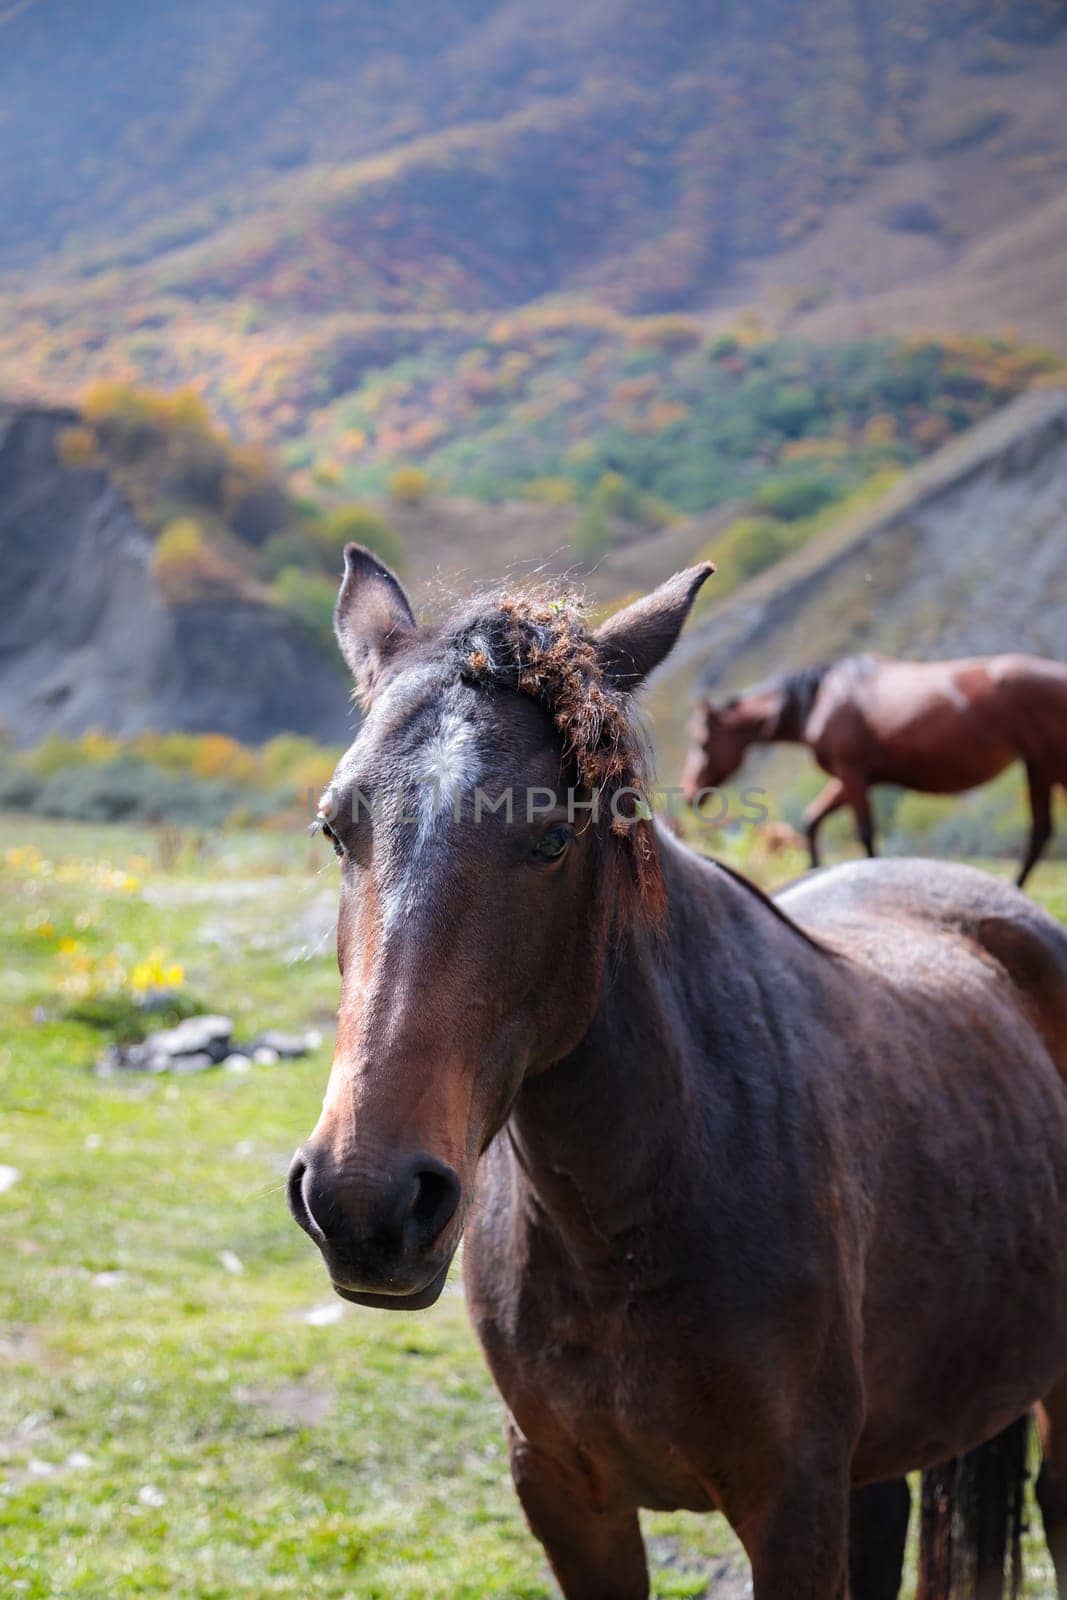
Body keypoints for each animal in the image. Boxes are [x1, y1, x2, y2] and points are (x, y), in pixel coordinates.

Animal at [684, 656, 1067, 896]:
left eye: (702, 742)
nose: (690, 792)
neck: (819, 699)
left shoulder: (852, 774)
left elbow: (865, 833)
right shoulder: (850, 779)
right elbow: (812, 820)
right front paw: (813, 871)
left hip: (1050, 763)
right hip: (1038, 765)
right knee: (1040, 833)